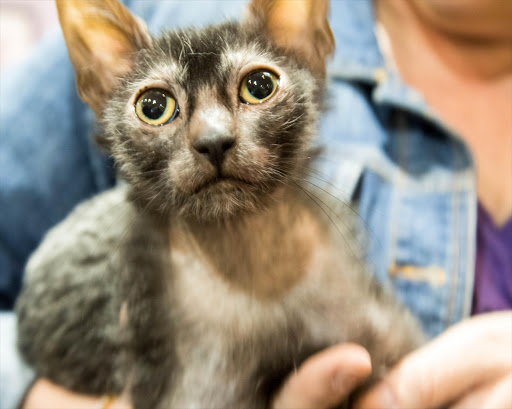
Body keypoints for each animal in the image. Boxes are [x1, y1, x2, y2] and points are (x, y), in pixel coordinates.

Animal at [16, 0, 424, 408]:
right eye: (153, 106)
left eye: (259, 87)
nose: (213, 141)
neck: (253, 258)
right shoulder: (195, 391)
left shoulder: (389, 339)